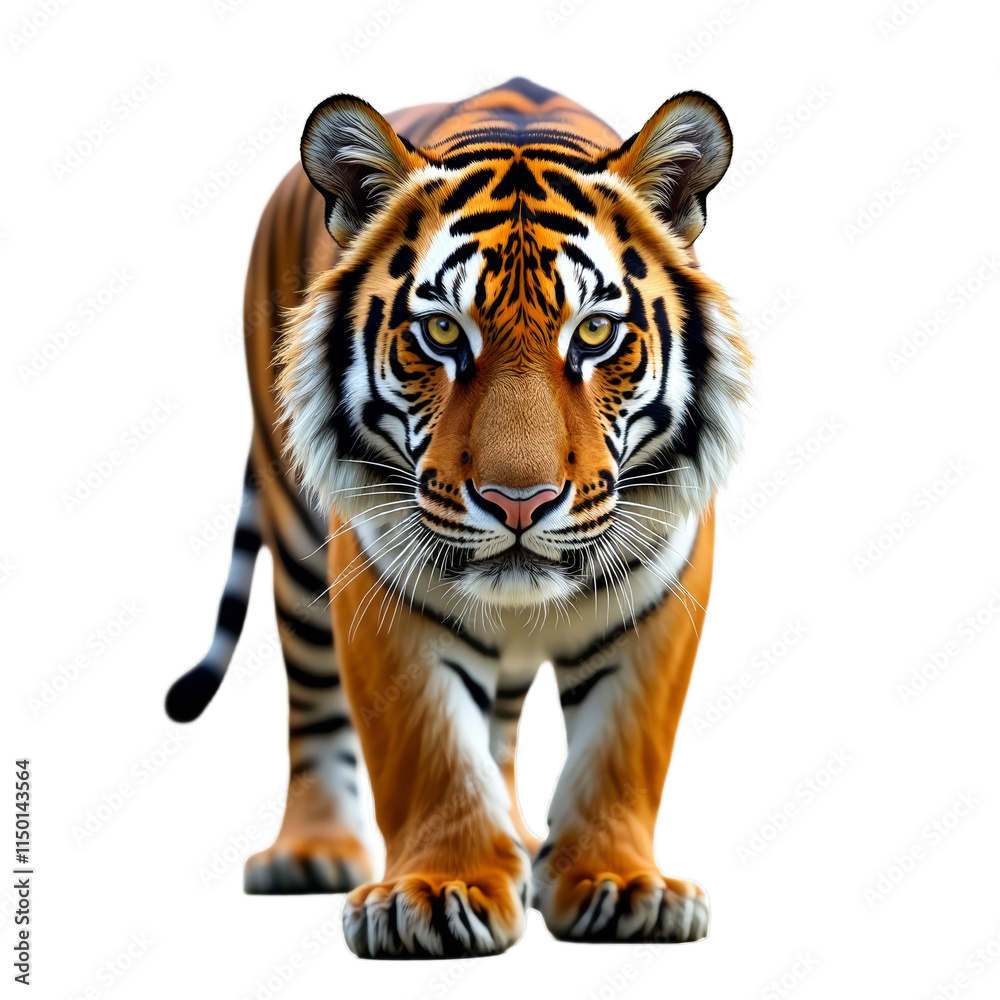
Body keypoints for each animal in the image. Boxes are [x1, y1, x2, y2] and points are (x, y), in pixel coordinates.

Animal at [165, 76, 751, 958]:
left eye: (595, 332)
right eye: (442, 330)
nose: (520, 502)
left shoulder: (664, 588)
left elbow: (623, 749)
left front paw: (619, 884)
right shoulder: (381, 583)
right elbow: (429, 747)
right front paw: (440, 893)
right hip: (295, 536)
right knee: (313, 704)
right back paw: (312, 852)